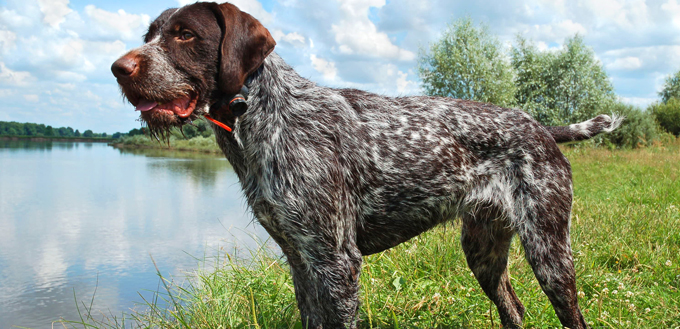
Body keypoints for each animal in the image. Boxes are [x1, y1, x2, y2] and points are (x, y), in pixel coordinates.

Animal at [111, 1, 620, 326]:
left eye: (185, 34)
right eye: (149, 36)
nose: (119, 68)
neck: (260, 115)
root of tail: (540, 127)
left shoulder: (336, 262)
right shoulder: (301, 260)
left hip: (549, 252)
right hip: (484, 251)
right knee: (513, 310)